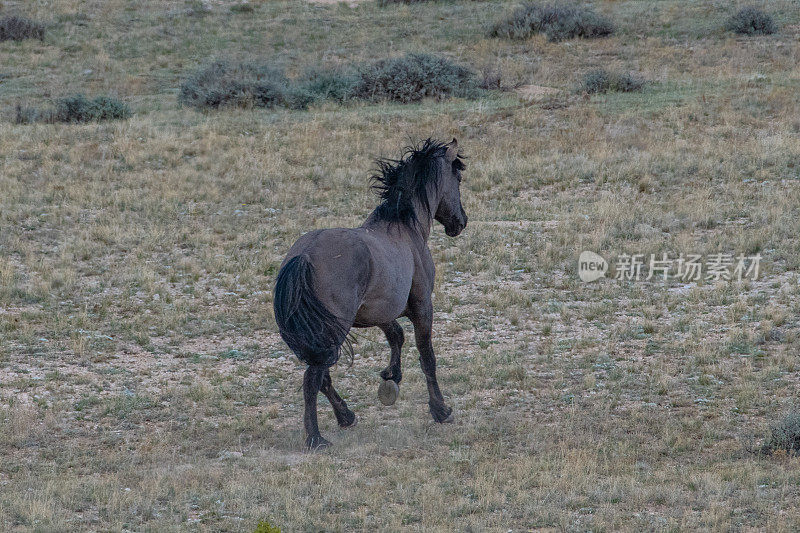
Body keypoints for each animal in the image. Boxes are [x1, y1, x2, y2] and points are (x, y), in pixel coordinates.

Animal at [274, 135, 466, 446]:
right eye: (457, 177)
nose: (460, 222)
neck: (405, 227)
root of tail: (303, 256)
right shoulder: (422, 307)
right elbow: (427, 357)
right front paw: (441, 410)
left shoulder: (378, 311)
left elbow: (396, 335)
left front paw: (391, 377)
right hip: (333, 332)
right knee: (312, 379)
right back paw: (316, 438)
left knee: (322, 378)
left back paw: (346, 417)